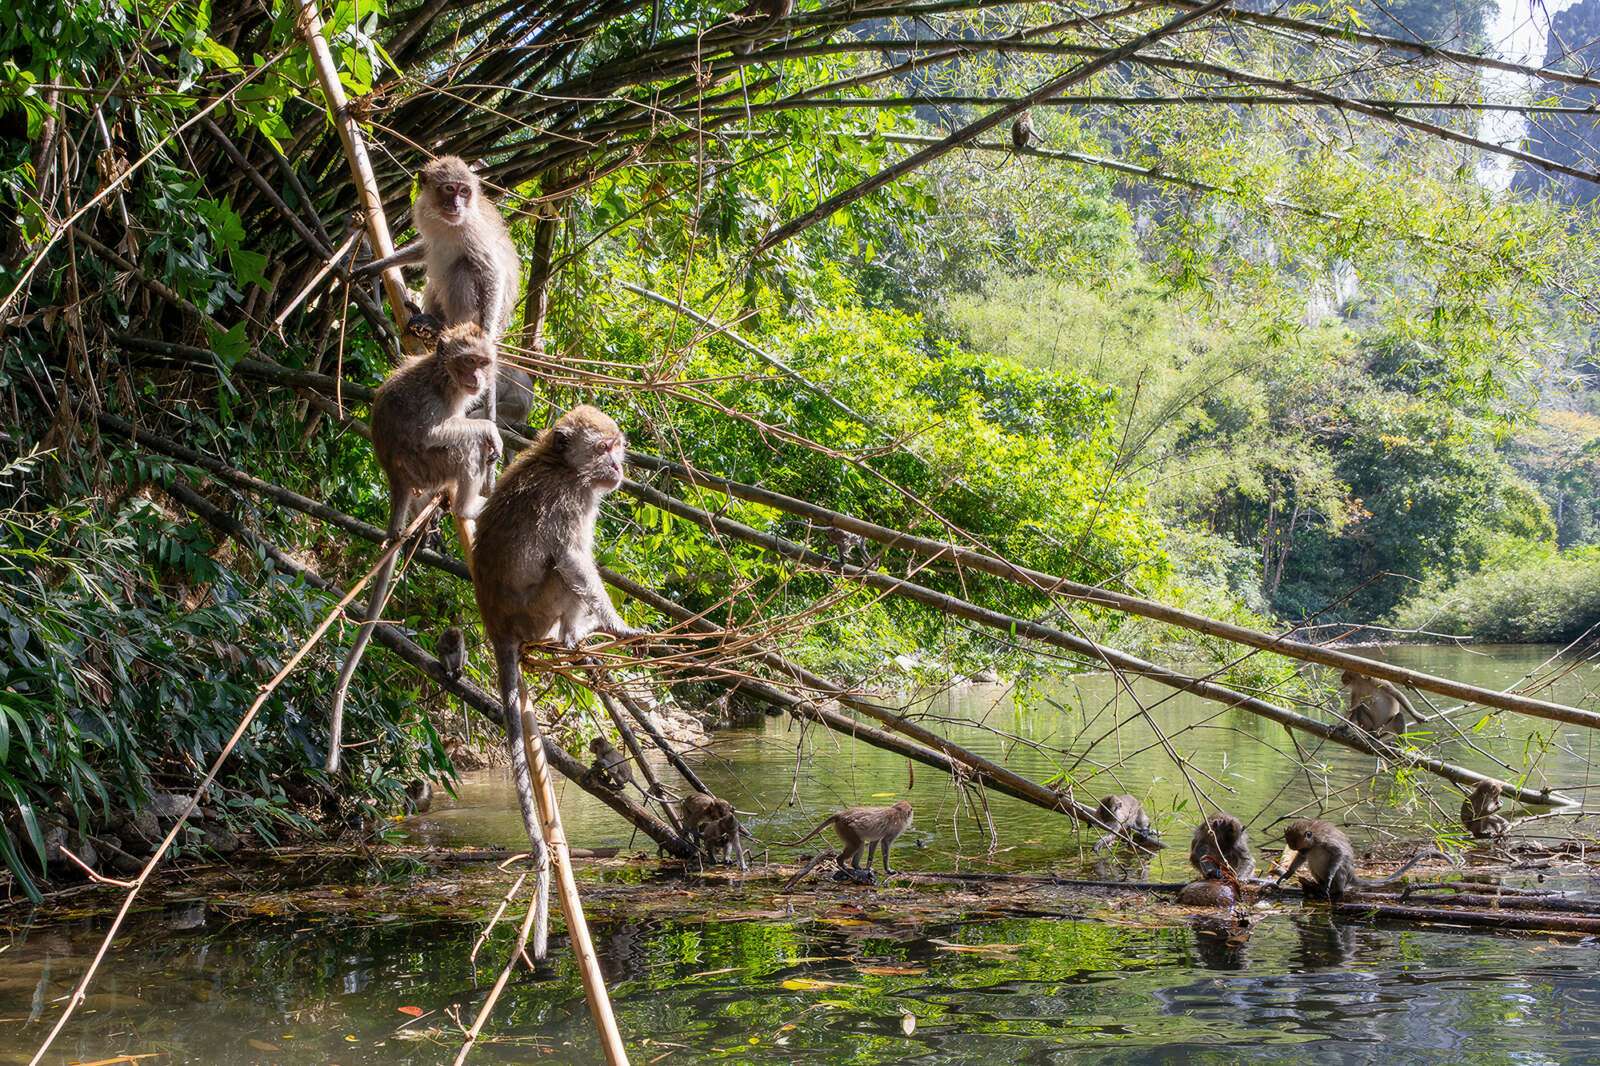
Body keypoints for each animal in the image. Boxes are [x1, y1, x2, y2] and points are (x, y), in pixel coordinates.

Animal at [326, 322, 502, 773]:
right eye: (467, 362)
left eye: (482, 362)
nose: (477, 378)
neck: (444, 378)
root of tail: (395, 476)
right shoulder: (431, 401)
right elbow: (438, 432)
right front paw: (489, 429)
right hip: (423, 465)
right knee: (458, 448)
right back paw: (468, 504)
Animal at [471, 404, 650, 958]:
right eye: (603, 449)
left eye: (618, 447)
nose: (617, 465)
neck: (563, 467)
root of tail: (496, 625)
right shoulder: (569, 503)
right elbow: (573, 561)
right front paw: (618, 626)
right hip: (537, 613)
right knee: (563, 569)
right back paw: (576, 637)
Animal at [778, 801, 914, 876]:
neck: (897, 811)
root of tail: (839, 815)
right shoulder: (895, 828)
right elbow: (885, 843)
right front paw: (888, 870)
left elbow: (874, 843)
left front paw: (868, 867)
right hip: (846, 828)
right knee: (857, 844)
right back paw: (842, 863)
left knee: (861, 844)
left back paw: (856, 866)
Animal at [1273, 818, 1442, 901]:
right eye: (1299, 849)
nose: (1302, 851)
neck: (1314, 841)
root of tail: (1351, 877)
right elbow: (1302, 859)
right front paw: (1287, 874)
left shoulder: (1326, 841)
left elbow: (1339, 854)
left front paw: (1329, 878)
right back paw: (1317, 885)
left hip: (1343, 876)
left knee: (1341, 869)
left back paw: (1335, 890)